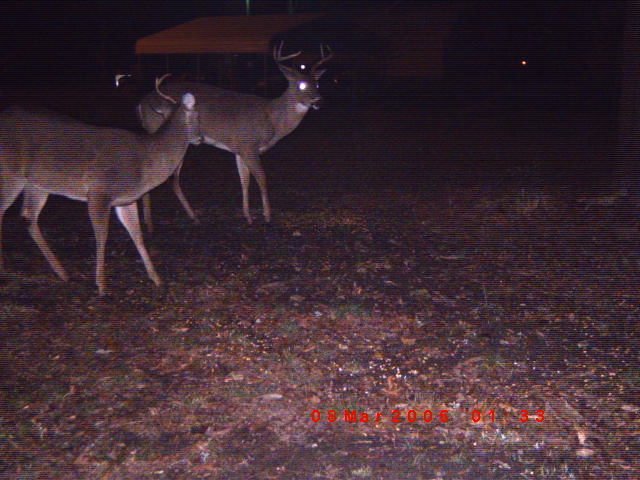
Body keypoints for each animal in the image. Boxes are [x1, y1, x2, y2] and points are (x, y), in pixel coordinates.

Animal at [0, 75, 201, 295]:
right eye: (198, 116)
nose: (200, 138)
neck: (146, 162)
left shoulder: (126, 199)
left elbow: (137, 234)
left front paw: (156, 278)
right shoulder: (99, 191)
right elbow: (102, 235)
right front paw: (102, 285)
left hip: (37, 183)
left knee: (28, 216)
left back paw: (63, 273)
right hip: (11, 172)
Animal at [136, 42, 332, 232]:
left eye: (317, 83)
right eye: (301, 85)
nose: (319, 101)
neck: (272, 118)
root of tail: (141, 104)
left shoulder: (239, 149)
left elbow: (244, 180)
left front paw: (248, 217)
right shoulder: (249, 146)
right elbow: (262, 178)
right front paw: (267, 217)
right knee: (170, 177)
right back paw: (163, 222)